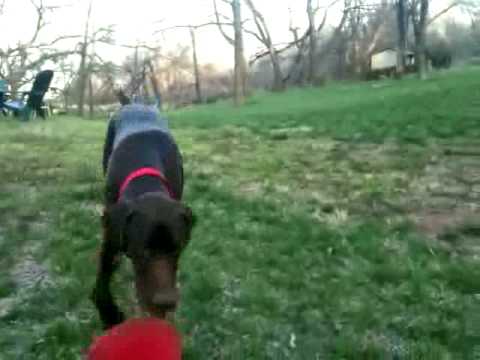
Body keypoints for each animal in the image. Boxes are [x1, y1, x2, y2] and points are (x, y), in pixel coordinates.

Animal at [90, 95, 195, 330]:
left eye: (177, 250)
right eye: (144, 252)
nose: (167, 302)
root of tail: (133, 102)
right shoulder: (111, 235)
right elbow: (101, 283)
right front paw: (110, 315)